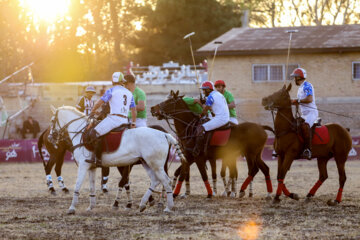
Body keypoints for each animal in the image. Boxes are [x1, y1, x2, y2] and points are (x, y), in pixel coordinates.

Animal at [49, 107, 186, 214]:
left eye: (52, 121)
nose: (51, 137)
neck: (81, 133)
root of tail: (164, 134)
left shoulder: (83, 165)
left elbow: (77, 185)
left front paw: (72, 208)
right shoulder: (91, 167)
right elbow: (92, 187)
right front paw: (90, 207)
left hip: (155, 164)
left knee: (166, 181)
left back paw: (168, 207)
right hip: (146, 162)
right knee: (155, 180)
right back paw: (142, 204)